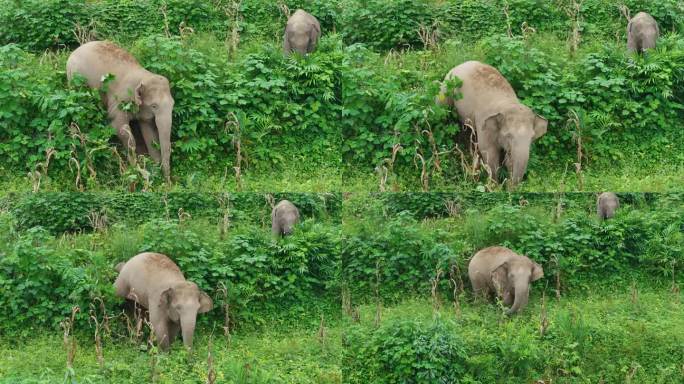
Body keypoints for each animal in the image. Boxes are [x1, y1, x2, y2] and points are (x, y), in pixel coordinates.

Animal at [66, 41, 175, 180]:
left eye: (173, 104)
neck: (144, 76)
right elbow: (120, 128)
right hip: (75, 80)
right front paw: (136, 171)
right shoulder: (119, 101)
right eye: (154, 106)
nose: (168, 182)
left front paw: (154, 171)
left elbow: (149, 132)